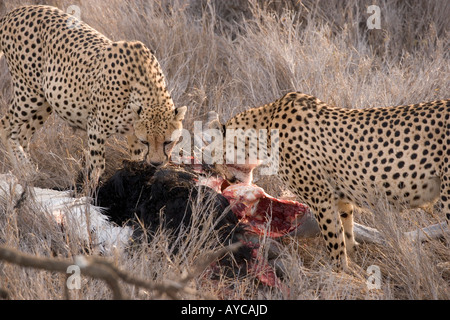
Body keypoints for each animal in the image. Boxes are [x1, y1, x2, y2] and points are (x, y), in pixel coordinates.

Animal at [0, 5, 186, 181]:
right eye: (146, 141)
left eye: (168, 142)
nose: (156, 163)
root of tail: (16, 11)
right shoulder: (96, 127)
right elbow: (96, 168)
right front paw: (92, 189)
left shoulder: (132, 134)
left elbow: (135, 159)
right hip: (29, 92)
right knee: (6, 126)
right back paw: (25, 171)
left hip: (46, 102)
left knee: (23, 134)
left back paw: (29, 173)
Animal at [209, 91, 450, 272]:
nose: (222, 177)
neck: (263, 129)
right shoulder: (340, 197)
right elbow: (346, 232)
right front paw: (353, 264)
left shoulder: (320, 197)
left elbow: (333, 239)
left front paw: (339, 273)